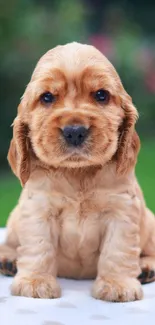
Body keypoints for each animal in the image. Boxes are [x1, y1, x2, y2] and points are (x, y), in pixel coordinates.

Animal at [0, 42, 155, 302]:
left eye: (101, 95)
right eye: (47, 97)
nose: (74, 131)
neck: (78, 172)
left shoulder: (121, 210)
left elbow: (117, 250)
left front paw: (117, 285)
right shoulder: (38, 208)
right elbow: (38, 246)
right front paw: (35, 282)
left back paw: (146, 268)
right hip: (14, 219)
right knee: (11, 242)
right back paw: (8, 260)